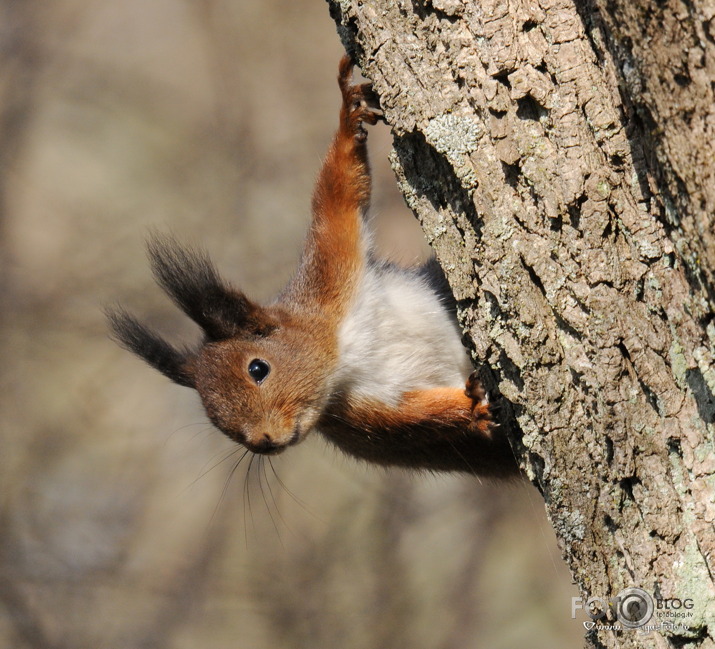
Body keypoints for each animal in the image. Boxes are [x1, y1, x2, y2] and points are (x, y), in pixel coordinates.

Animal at [107, 57, 520, 476]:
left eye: (258, 368)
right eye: (214, 418)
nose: (263, 442)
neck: (343, 357)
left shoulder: (331, 268)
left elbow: (337, 198)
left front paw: (349, 111)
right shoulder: (360, 418)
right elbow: (419, 421)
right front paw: (473, 409)